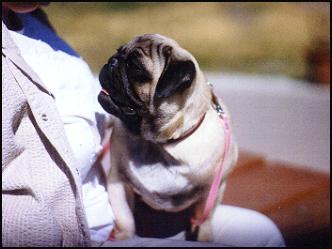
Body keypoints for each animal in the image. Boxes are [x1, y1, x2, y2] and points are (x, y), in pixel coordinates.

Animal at [97, 34, 237, 242]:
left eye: (135, 67)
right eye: (117, 52)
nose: (112, 62)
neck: (157, 143)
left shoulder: (211, 192)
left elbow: (204, 222)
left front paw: (204, 239)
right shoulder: (118, 180)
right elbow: (124, 219)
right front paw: (123, 237)